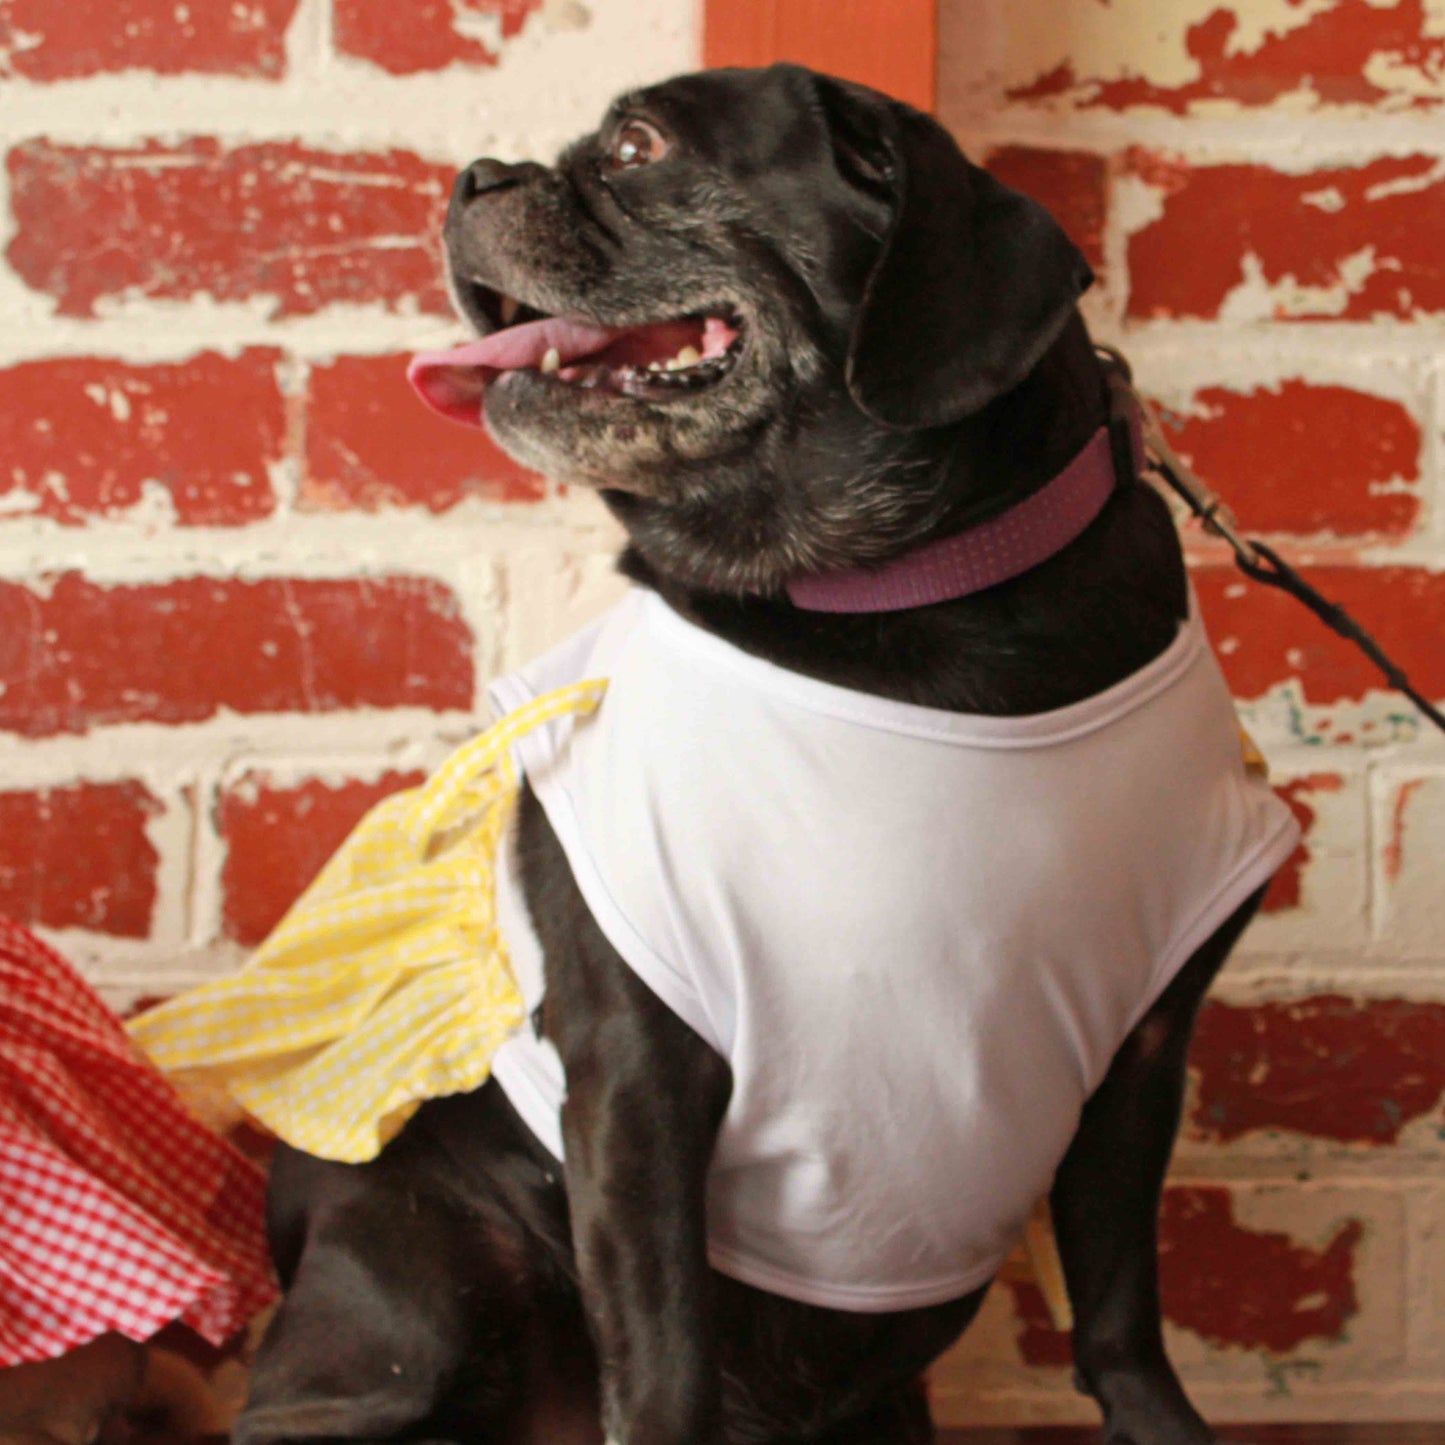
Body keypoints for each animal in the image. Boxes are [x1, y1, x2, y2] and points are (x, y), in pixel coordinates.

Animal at [242, 65, 1283, 1445]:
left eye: (637, 146)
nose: (474, 175)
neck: (906, 600)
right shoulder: (637, 1071)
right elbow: (664, 1356)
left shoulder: (1143, 1053)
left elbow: (1119, 1308)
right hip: (416, 1292)